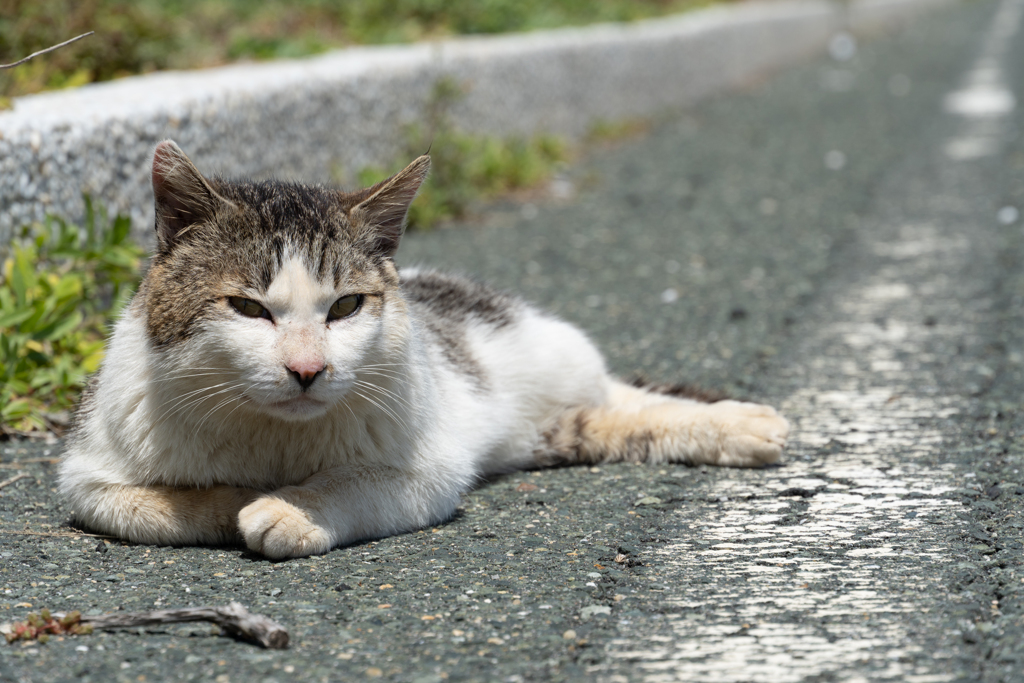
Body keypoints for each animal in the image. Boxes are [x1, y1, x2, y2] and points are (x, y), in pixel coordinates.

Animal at [58, 141, 790, 557]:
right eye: (248, 307)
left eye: (346, 306)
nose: (307, 369)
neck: (272, 438)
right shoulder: (86, 476)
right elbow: (146, 506)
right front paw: (230, 502)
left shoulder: (431, 467)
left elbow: (353, 484)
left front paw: (290, 508)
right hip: (553, 430)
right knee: (608, 420)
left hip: (546, 360)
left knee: (622, 394)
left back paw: (745, 422)